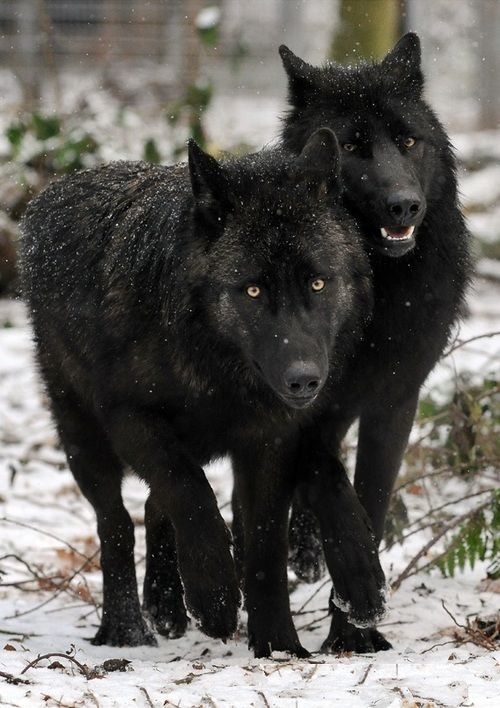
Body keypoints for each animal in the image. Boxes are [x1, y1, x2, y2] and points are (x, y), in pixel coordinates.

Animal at [22, 129, 385, 657]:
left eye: (318, 283)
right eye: (252, 291)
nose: (304, 380)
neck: (216, 369)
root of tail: (49, 193)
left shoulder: (270, 440)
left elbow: (264, 544)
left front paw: (278, 645)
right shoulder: (130, 418)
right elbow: (188, 491)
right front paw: (214, 595)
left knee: (153, 506)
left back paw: (167, 608)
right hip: (82, 438)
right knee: (116, 523)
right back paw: (126, 629)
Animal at [279, 33, 472, 653]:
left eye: (408, 140)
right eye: (351, 147)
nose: (404, 205)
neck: (374, 294)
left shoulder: (394, 399)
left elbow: (372, 496)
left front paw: (354, 635)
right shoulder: (303, 397)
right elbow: (330, 483)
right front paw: (359, 583)